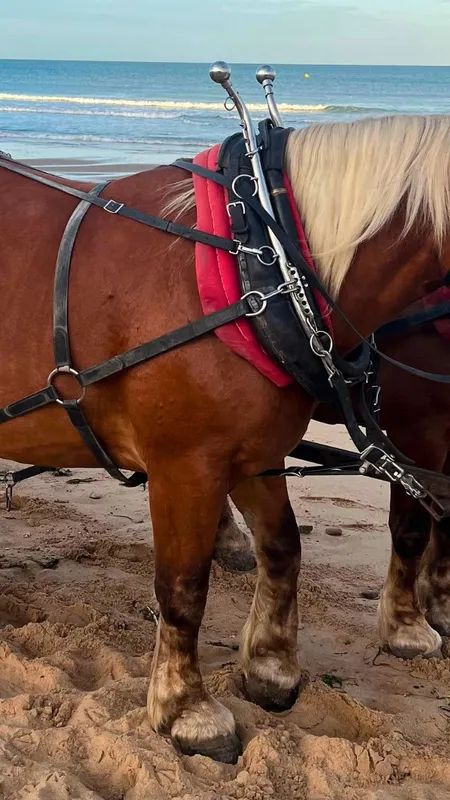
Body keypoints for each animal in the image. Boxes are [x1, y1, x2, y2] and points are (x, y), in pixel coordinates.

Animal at [2, 113, 450, 763]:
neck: (261, 262)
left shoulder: (254, 456)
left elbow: (283, 550)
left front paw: (269, 666)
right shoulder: (189, 465)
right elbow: (183, 587)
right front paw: (186, 710)